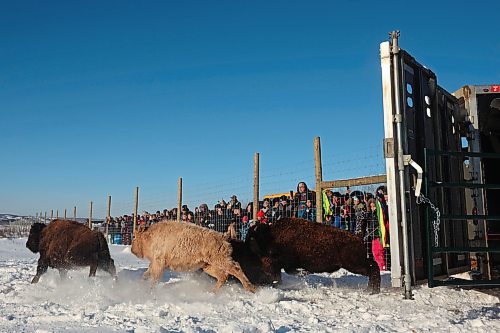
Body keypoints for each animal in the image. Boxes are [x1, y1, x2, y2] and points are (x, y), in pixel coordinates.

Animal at [245, 218, 378, 294]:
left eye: (252, 237)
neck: (271, 236)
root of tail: (357, 237)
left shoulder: (283, 263)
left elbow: (289, 271)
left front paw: (305, 273)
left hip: (354, 264)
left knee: (373, 268)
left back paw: (371, 291)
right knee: (373, 266)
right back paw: (370, 290)